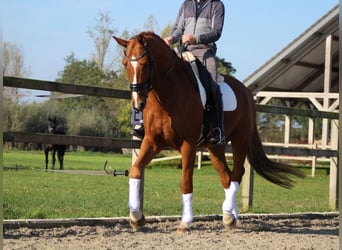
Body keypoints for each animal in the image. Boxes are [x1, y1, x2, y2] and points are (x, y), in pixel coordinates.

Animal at [112, 31, 304, 232]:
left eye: (144, 63)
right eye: (125, 64)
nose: (137, 104)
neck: (168, 95)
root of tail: (246, 92)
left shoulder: (188, 144)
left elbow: (186, 182)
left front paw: (185, 222)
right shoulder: (152, 141)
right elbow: (135, 170)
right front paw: (136, 217)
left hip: (240, 139)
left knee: (237, 173)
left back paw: (228, 213)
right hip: (215, 146)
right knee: (226, 176)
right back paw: (230, 217)